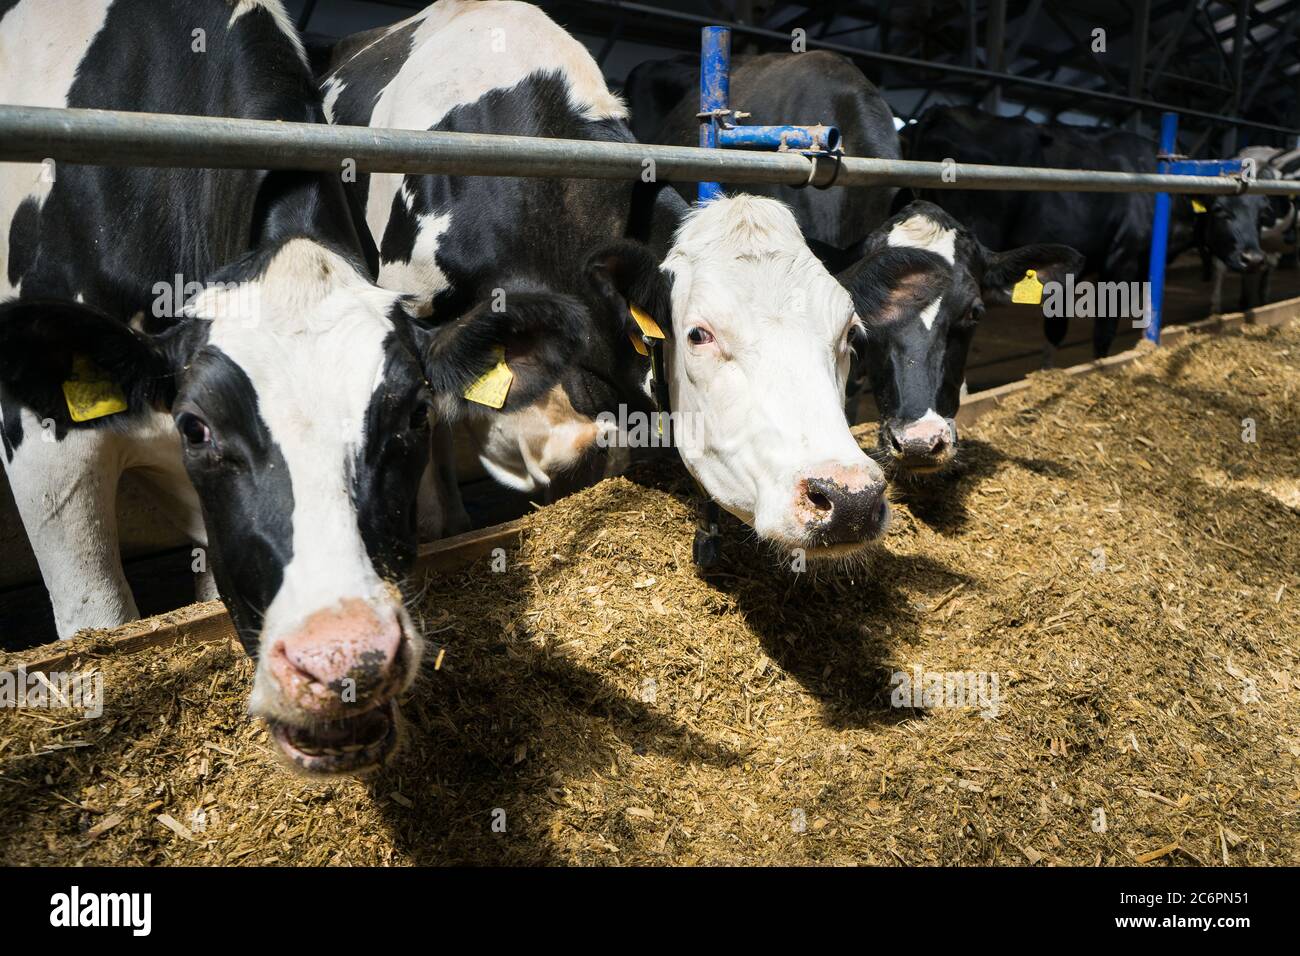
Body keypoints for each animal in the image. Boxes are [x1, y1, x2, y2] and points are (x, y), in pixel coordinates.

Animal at [907, 105, 1271, 358]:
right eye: (1221, 210)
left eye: (1261, 214)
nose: (1254, 258)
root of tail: (941, 111)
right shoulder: (1121, 265)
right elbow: (1103, 333)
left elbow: (1056, 331)